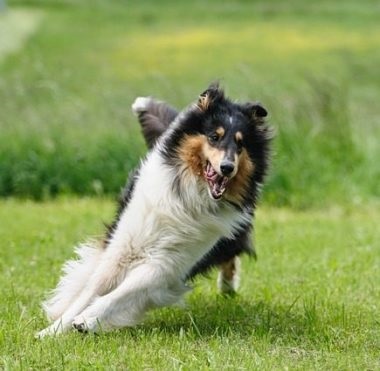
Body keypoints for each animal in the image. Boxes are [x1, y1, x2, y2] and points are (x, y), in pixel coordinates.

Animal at [36, 83, 270, 338]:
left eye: (240, 144)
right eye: (214, 137)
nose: (227, 168)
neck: (189, 197)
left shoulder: (167, 264)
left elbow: (122, 292)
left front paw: (87, 320)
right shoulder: (123, 247)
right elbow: (92, 289)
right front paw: (51, 331)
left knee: (232, 252)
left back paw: (227, 286)